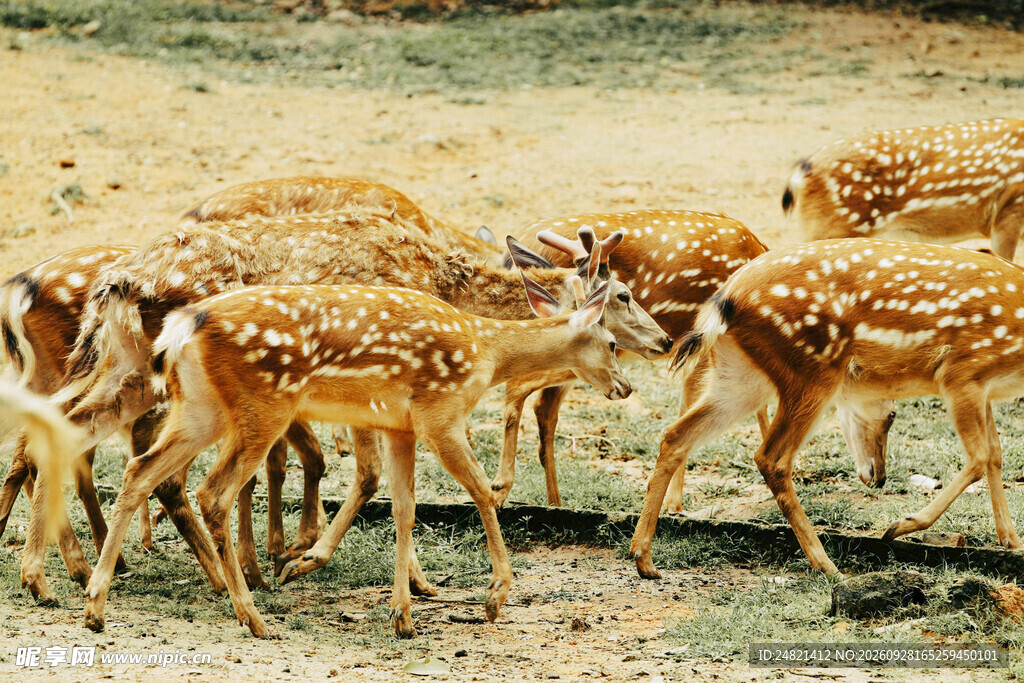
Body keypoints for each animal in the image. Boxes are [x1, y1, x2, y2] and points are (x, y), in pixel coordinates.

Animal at [43, 209, 668, 600]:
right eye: (622, 296)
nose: (663, 340)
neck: (443, 283)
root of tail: (118, 282)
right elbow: (369, 476)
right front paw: (313, 561)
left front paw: (410, 581)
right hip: (171, 384)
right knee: (160, 472)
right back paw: (212, 578)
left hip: (121, 369)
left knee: (61, 434)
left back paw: (66, 574)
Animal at [82, 265, 628, 639]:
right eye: (613, 342)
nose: (624, 386)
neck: (486, 354)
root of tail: (182, 325)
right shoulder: (441, 412)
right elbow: (483, 492)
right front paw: (495, 597)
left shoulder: (400, 425)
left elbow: (405, 509)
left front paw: (403, 615)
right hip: (263, 405)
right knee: (211, 491)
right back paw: (253, 616)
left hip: (201, 408)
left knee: (140, 470)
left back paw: (95, 605)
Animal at [490, 210, 772, 512]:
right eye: (623, 296)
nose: (667, 340)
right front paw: (674, 504)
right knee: (518, 387)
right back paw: (502, 490)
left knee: (543, 407)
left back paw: (554, 502)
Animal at [629, 238, 1024, 580]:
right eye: (892, 416)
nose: (880, 479)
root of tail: (724, 299)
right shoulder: (962, 372)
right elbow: (980, 457)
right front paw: (899, 527)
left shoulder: (985, 390)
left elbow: (995, 454)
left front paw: (1012, 541)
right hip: (812, 370)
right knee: (771, 458)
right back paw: (827, 564)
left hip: (740, 376)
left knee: (676, 435)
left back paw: (644, 559)